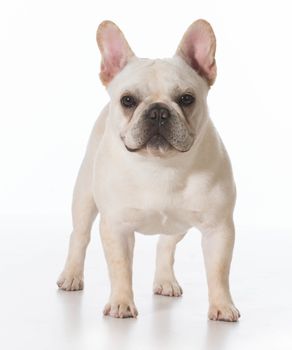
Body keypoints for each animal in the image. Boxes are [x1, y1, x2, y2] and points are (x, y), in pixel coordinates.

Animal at [56, 18, 240, 320]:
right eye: (127, 100)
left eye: (187, 99)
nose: (157, 111)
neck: (161, 165)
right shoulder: (116, 227)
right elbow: (120, 268)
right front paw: (121, 303)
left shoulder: (218, 228)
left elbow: (219, 271)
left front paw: (222, 306)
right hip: (84, 197)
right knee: (79, 236)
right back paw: (71, 275)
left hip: (179, 223)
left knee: (165, 245)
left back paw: (165, 280)